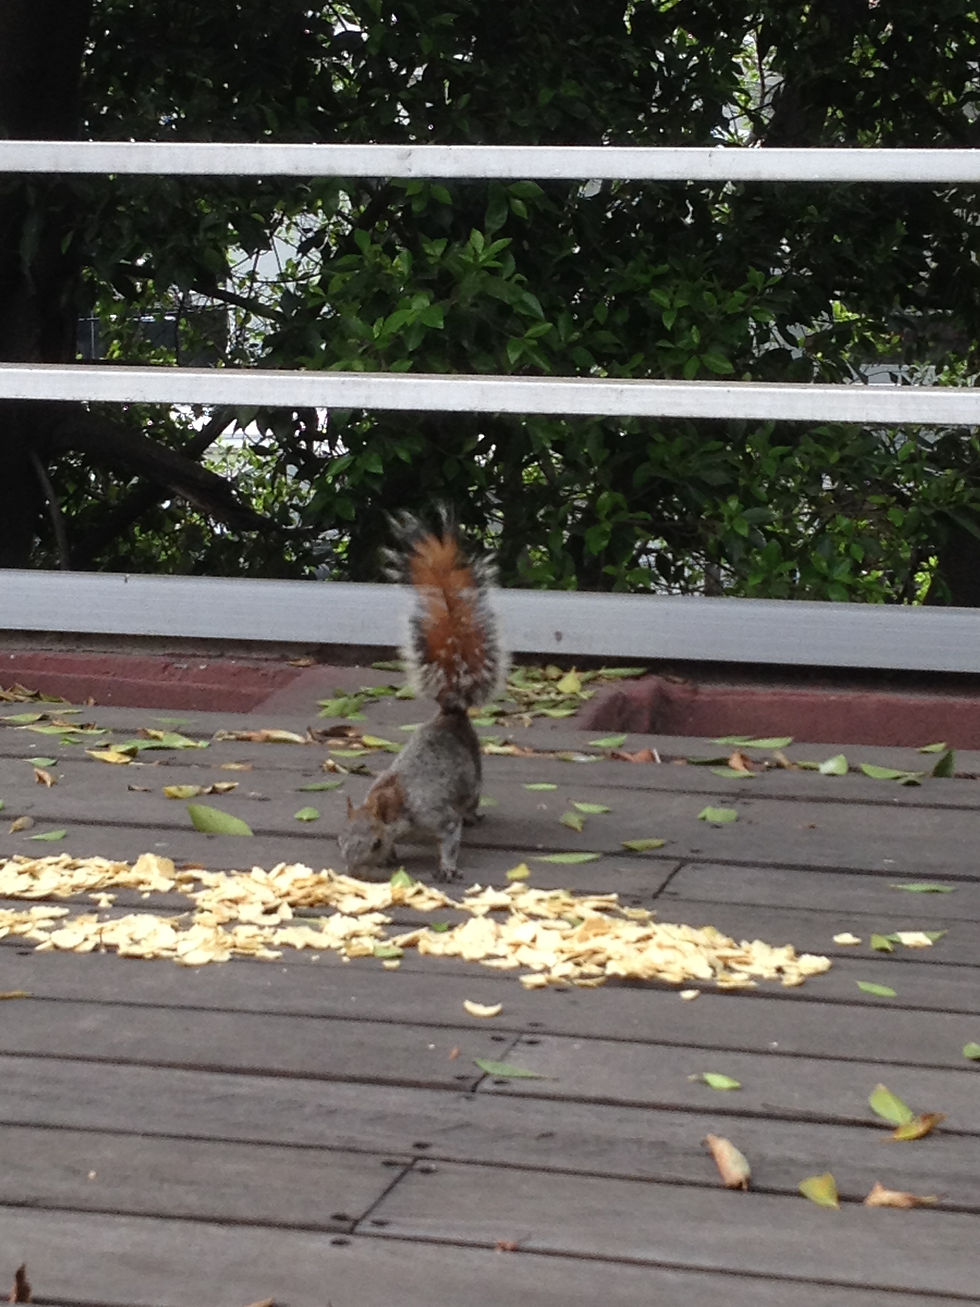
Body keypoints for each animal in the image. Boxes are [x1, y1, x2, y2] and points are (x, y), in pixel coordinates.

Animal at [338, 512, 507, 882]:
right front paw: (391, 858)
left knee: (471, 802)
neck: (396, 802)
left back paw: (474, 816)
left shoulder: (437, 815)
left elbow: (450, 838)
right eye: (339, 838)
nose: (354, 872)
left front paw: (446, 867)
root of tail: (452, 711)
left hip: (473, 778)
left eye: (374, 841)